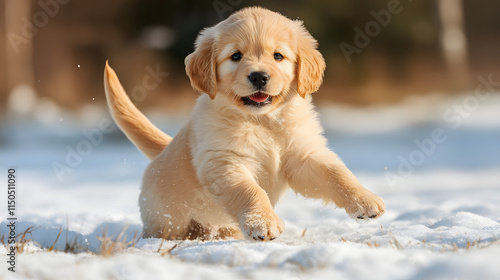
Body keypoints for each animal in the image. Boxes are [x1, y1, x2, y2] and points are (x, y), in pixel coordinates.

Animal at [103, 6, 384, 241]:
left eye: (278, 56)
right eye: (236, 56)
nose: (259, 76)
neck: (262, 121)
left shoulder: (302, 156)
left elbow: (336, 173)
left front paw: (364, 200)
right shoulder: (225, 162)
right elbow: (250, 190)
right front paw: (263, 223)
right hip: (167, 221)